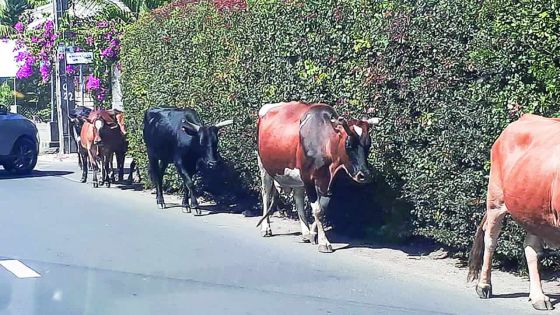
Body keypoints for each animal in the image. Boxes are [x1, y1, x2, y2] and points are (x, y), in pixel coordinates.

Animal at [255, 102, 378, 254]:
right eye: (348, 144)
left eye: (368, 145)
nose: (364, 175)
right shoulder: (308, 178)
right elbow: (317, 210)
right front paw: (324, 242)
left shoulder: (330, 181)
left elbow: (322, 208)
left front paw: (314, 234)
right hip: (264, 167)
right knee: (266, 194)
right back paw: (266, 228)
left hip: (296, 177)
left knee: (298, 197)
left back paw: (305, 232)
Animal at [466, 114, 560, 312]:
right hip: (495, 199)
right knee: (491, 239)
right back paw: (483, 286)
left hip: (533, 211)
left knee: (531, 248)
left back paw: (538, 297)